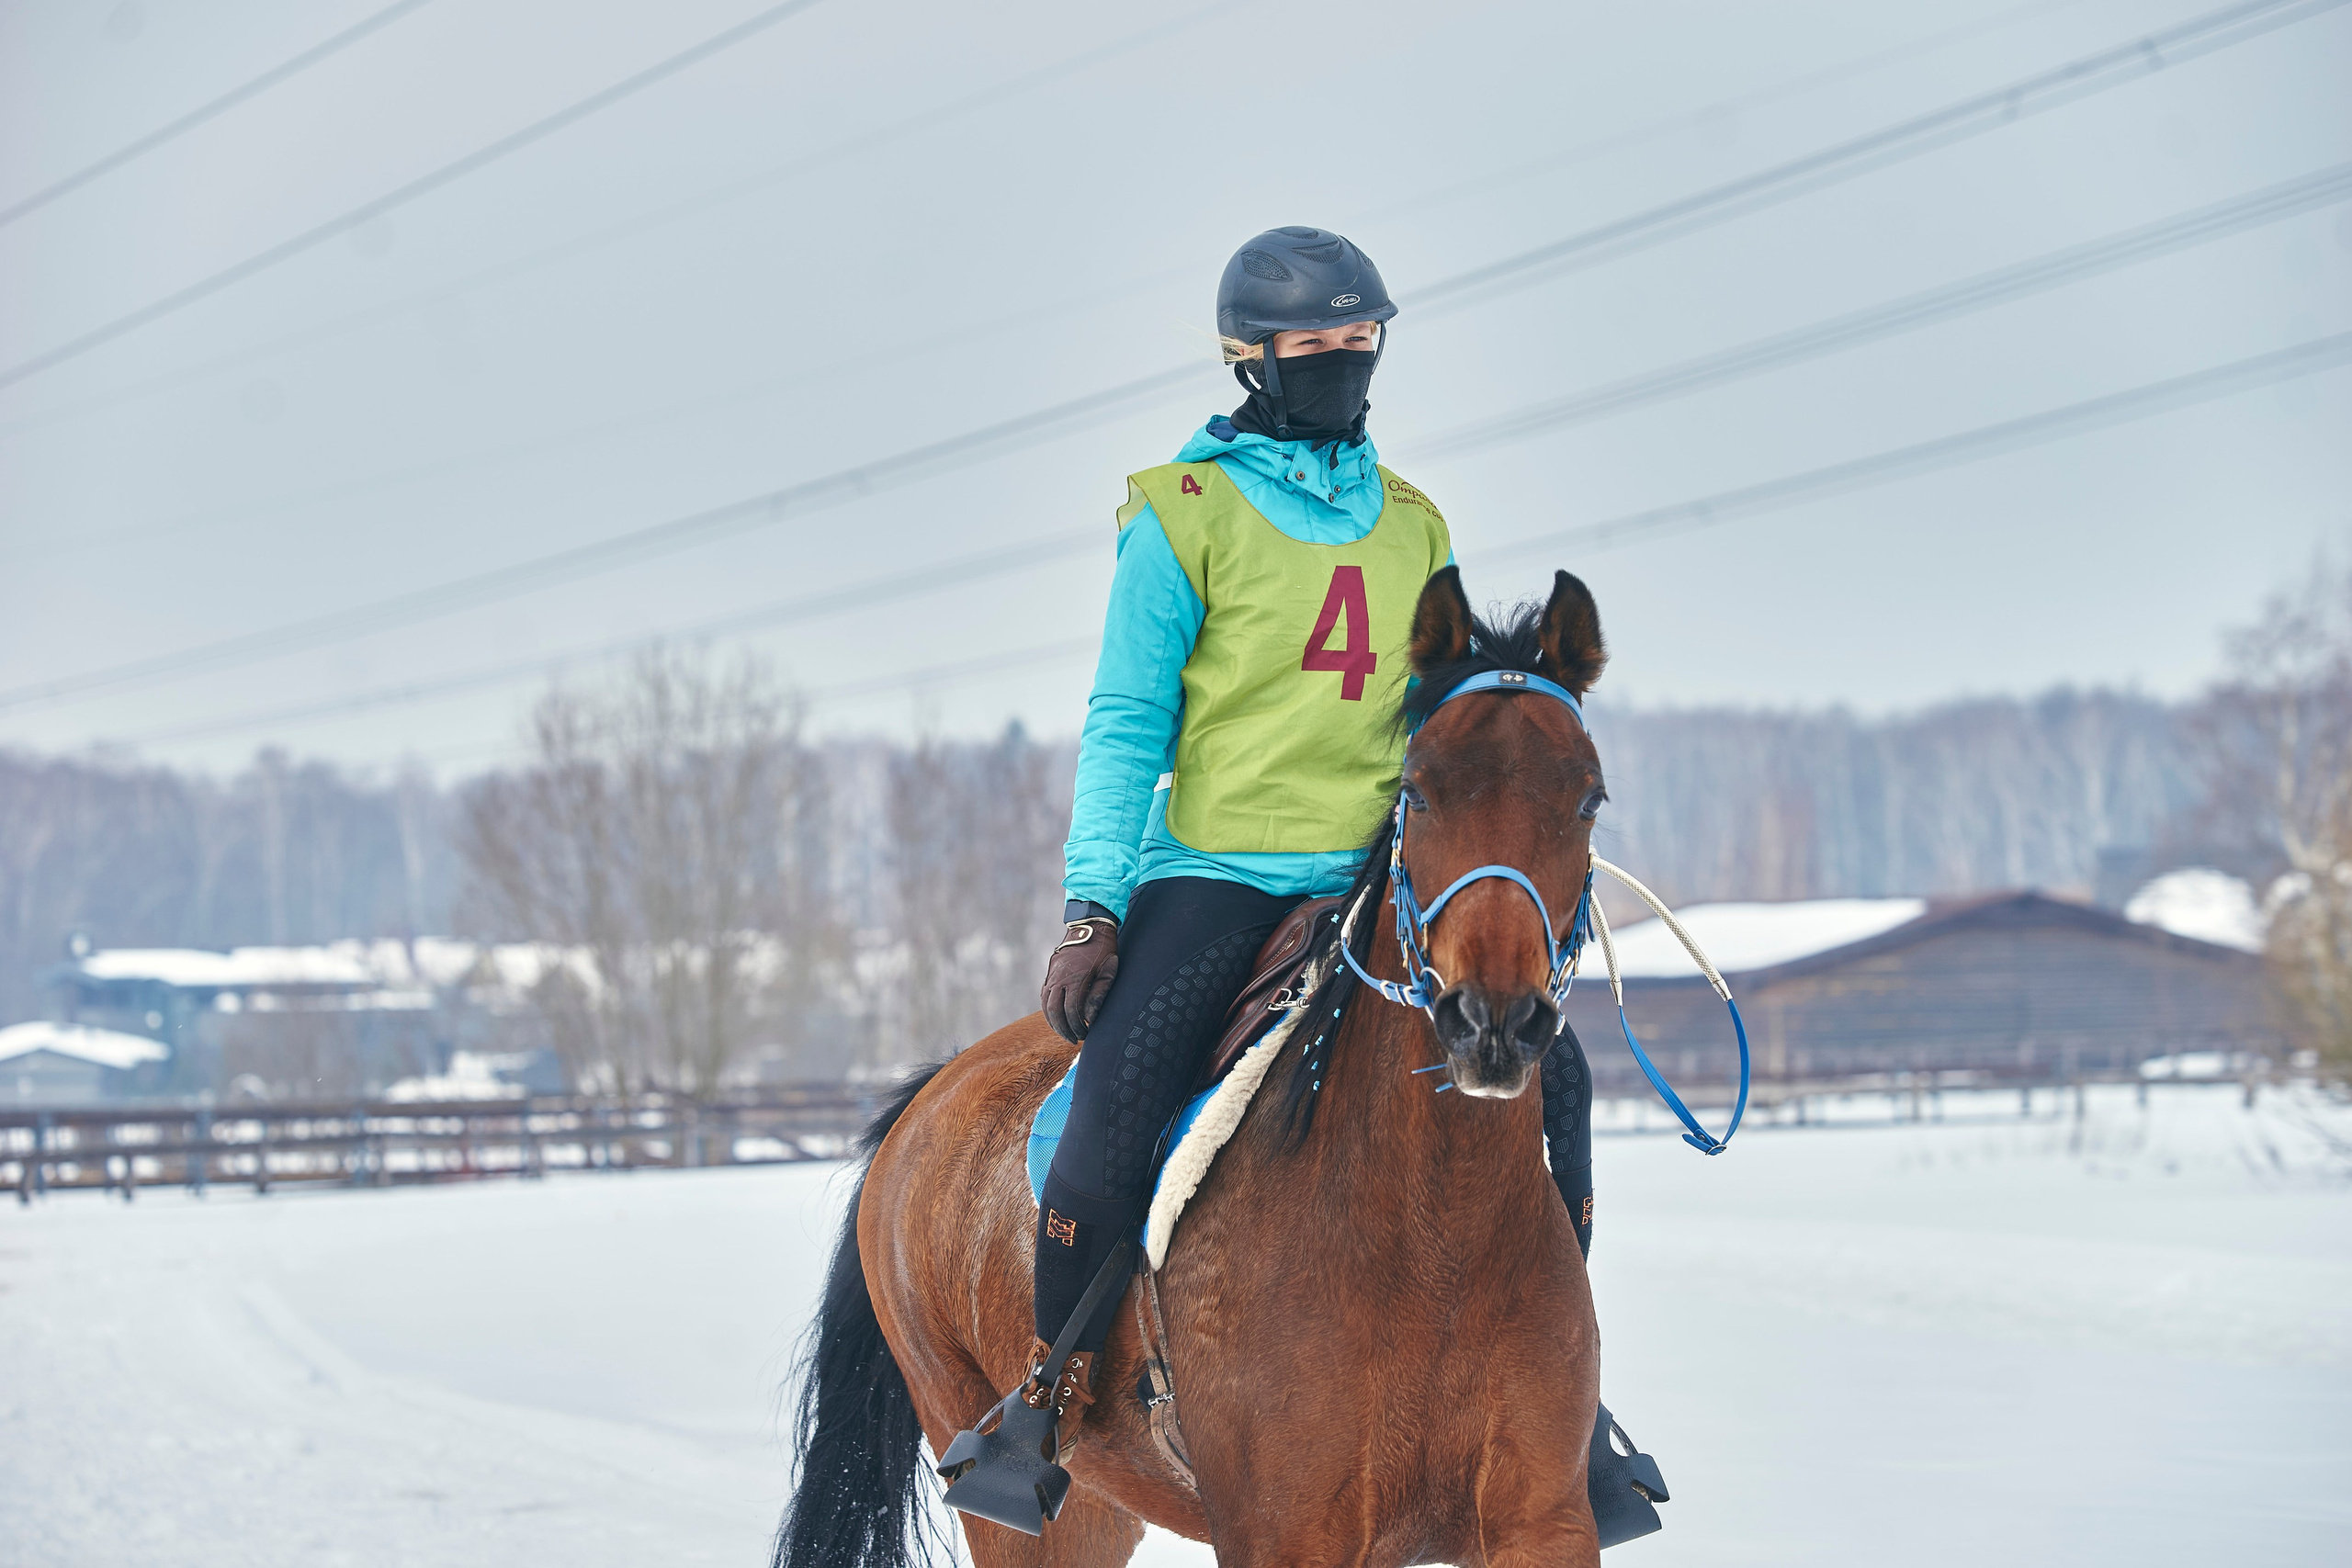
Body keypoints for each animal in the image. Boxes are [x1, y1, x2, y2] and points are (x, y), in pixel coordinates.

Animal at [778, 565, 1614, 1568]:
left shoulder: (1544, 1521)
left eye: (1589, 799)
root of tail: (925, 1098)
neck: (1433, 1236)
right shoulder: (1283, 1532)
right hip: (1012, 1500)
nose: (1492, 1020)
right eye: (1417, 788)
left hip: (1101, 1504)